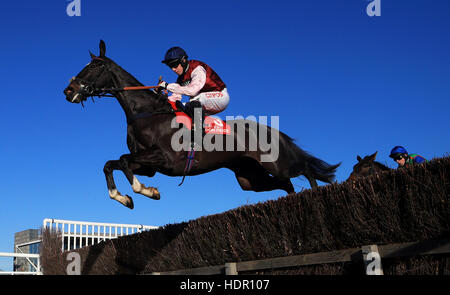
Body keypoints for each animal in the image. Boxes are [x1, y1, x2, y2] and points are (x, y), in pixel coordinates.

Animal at [61, 40, 340, 209]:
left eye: (94, 66)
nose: (68, 90)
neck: (146, 114)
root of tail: (272, 130)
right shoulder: (148, 165)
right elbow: (112, 163)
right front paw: (125, 197)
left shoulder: (165, 158)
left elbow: (124, 161)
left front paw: (146, 191)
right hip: (249, 177)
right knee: (286, 185)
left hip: (276, 164)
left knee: (304, 170)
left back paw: (314, 196)